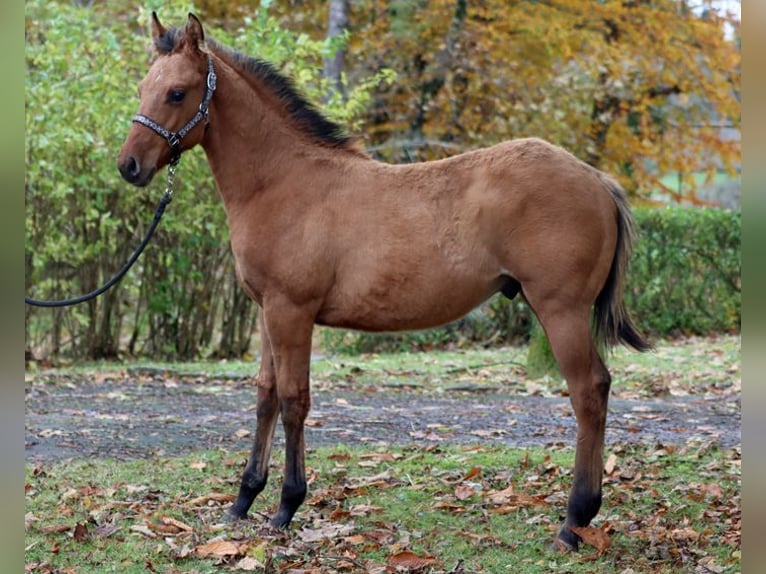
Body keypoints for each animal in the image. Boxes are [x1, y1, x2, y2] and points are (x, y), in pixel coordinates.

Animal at [117, 12, 652, 552]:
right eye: (142, 88)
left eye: (178, 93)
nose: (129, 166)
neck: (282, 182)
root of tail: (597, 180)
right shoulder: (267, 310)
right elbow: (266, 396)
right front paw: (244, 499)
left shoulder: (292, 311)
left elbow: (293, 401)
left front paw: (287, 506)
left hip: (561, 310)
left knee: (588, 392)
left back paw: (573, 522)